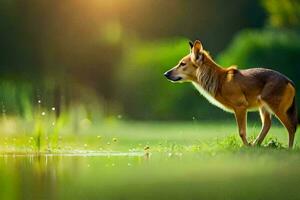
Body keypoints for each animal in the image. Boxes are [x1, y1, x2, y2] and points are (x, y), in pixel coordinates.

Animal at [164, 39, 298, 148]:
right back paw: (256, 144)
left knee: (292, 127)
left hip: (277, 107)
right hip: (264, 107)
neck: (219, 81)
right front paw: (249, 146)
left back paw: (288, 149)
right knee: (267, 125)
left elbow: (242, 132)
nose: (165, 74)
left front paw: (245, 147)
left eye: (182, 64)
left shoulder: (240, 106)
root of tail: (289, 81)